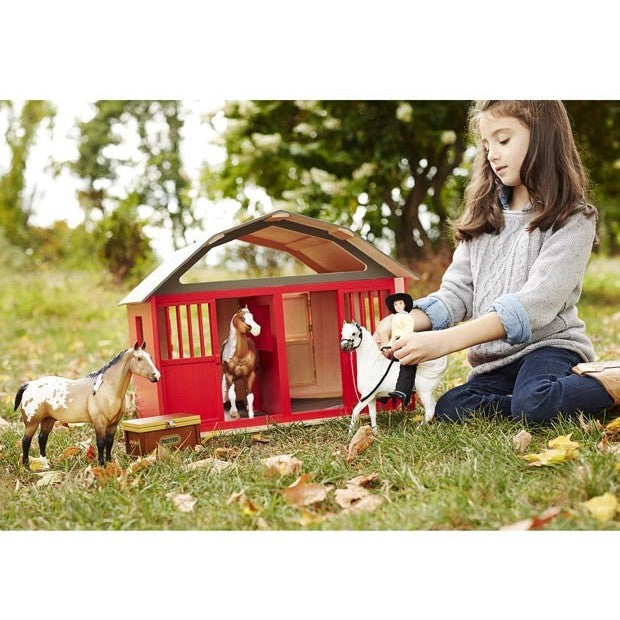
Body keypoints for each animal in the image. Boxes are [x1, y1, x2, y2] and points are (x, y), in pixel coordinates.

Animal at [14, 342, 161, 468]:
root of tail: (29, 385)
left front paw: (110, 462)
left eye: (150, 357)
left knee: (42, 439)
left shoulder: (113, 423)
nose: (157, 376)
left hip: (48, 420)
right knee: (26, 441)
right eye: (139, 358)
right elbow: (101, 443)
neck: (107, 388)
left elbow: (109, 442)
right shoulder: (100, 422)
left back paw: (46, 464)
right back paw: (27, 466)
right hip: (32, 422)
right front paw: (102, 464)